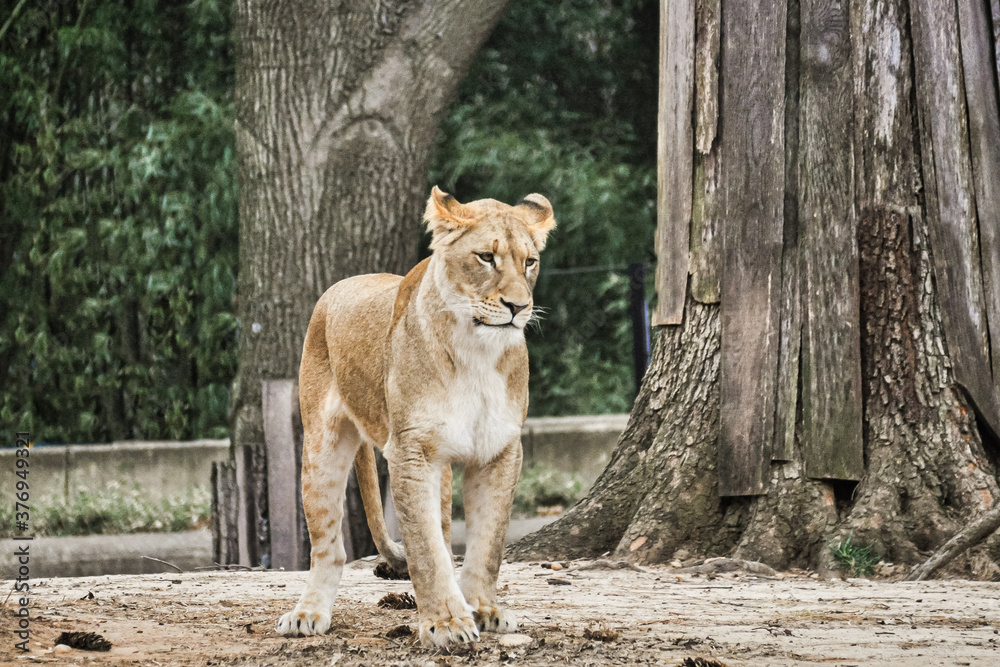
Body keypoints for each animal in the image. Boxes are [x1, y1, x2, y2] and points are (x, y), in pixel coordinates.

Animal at [276, 186, 556, 646]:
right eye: (486, 257)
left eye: (529, 262)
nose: (519, 306)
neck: (476, 352)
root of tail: (341, 284)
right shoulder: (411, 451)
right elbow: (425, 549)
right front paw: (446, 622)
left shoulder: (499, 451)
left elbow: (488, 542)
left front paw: (482, 608)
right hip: (322, 446)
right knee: (329, 547)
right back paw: (307, 613)